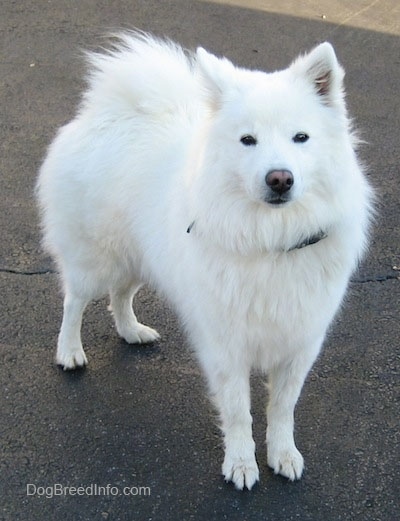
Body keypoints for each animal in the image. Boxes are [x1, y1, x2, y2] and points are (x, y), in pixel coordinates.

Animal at [36, 34, 374, 490]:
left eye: (301, 137)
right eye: (247, 140)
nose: (279, 178)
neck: (271, 237)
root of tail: (109, 110)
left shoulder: (300, 340)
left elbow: (282, 408)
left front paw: (283, 454)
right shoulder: (225, 343)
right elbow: (237, 411)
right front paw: (241, 464)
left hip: (141, 257)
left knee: (119, 296)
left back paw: (132, 331)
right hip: (96, 258)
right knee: (75, 301)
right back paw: (69, 351)